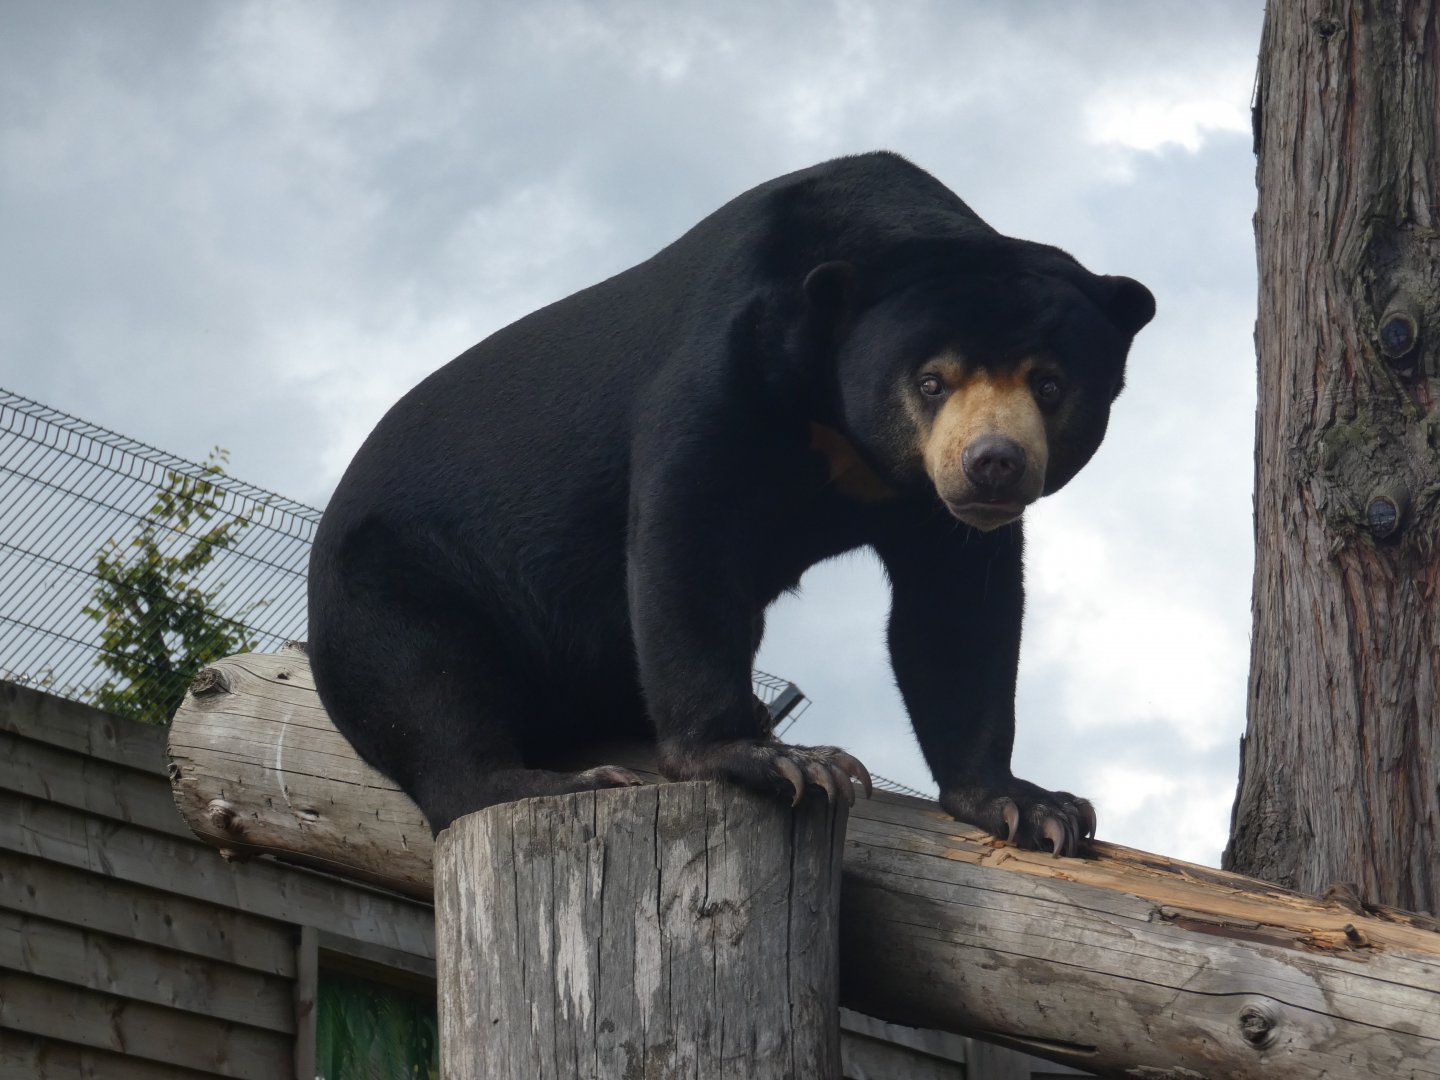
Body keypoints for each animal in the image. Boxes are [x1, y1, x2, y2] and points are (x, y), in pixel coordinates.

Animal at [307, 151, 1154, 856]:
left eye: (1050, 384)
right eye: (930, 381)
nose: (993, 464)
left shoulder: (929, 503)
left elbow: (958, 612)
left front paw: (1035, 807)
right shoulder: (727, 362)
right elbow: (689, 531)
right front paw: (772, 762)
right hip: (396, 578)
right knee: (426, 685)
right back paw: (561, 779)